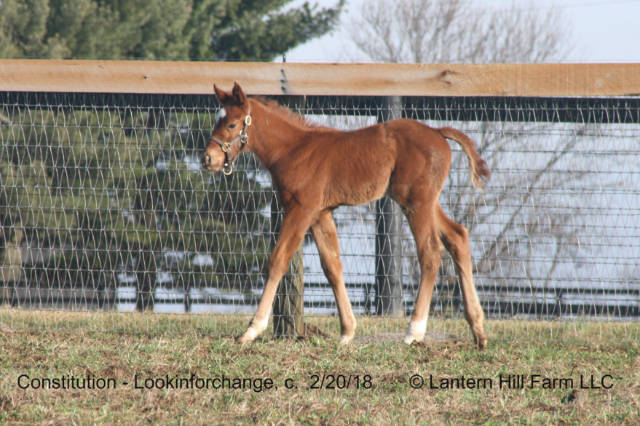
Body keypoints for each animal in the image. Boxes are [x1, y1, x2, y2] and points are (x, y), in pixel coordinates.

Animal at [202, 83, 488, 350]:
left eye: (232, 124)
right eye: (217, 120)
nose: (207, 159)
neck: (292, 150)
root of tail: (437, 133)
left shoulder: (301, 209)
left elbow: (278, 260)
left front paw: (251, 330)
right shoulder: (320, 213)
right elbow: (332, 266)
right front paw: (347, 331)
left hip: (416, 202)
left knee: (430, 251)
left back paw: (414, 331)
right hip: (425, 202)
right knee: (458, 237)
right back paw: (478, 329)